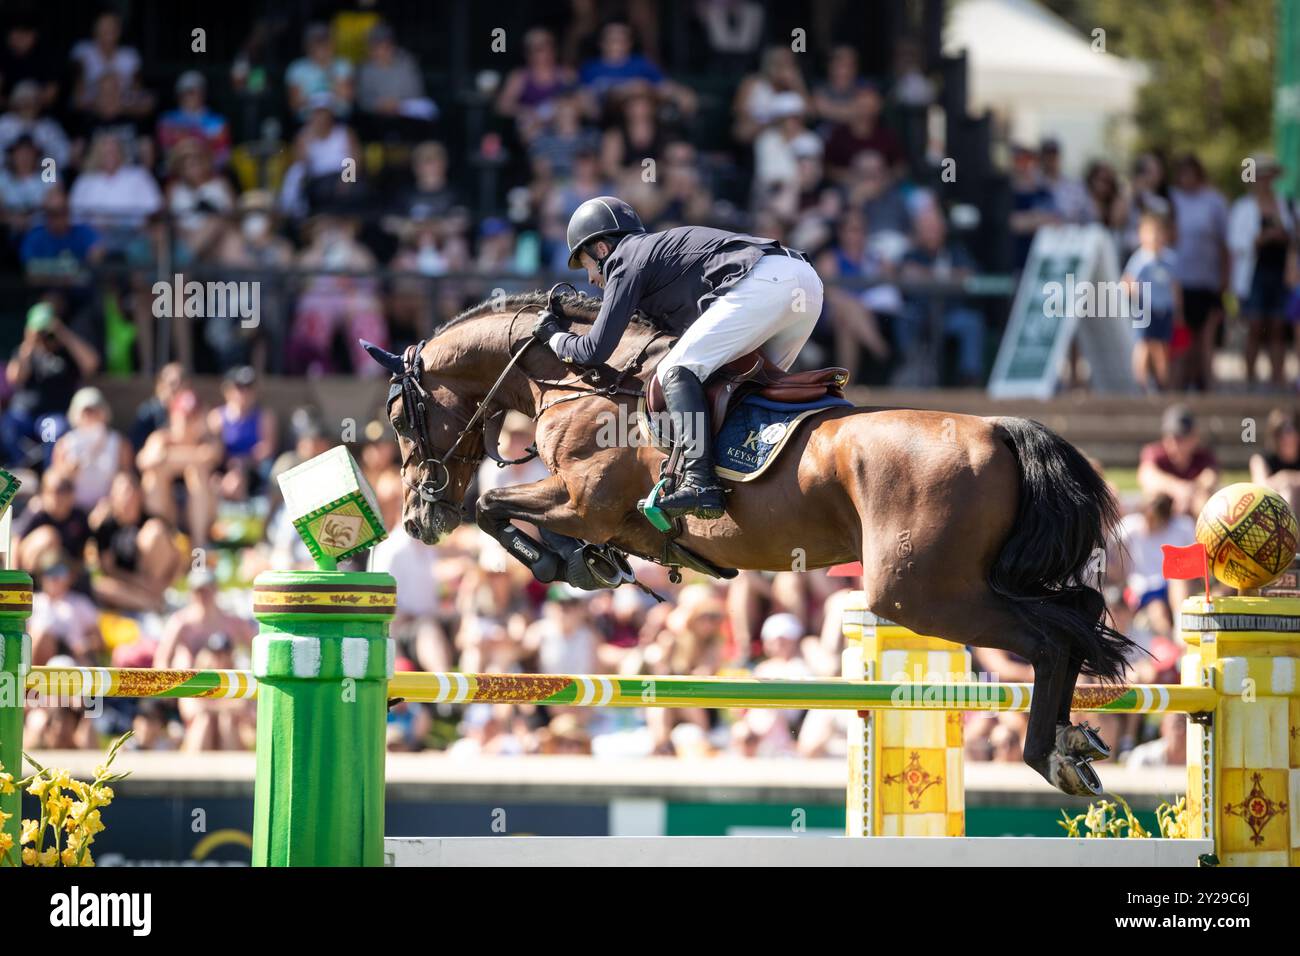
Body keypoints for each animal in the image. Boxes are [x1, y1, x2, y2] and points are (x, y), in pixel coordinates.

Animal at [361, 287, 1133, 796]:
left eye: (399, 415)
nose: (418, 518)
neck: (585, 381)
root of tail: (999, 428)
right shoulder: (598, 512)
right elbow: (517, 515)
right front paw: (591, 565)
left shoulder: (583, 500)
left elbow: (492, 506)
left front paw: (561, 561)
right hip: (969, 583)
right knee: (1077, 617)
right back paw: (1072, 744)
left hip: (920, 595)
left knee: (1054, 638)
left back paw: (1049, 755)